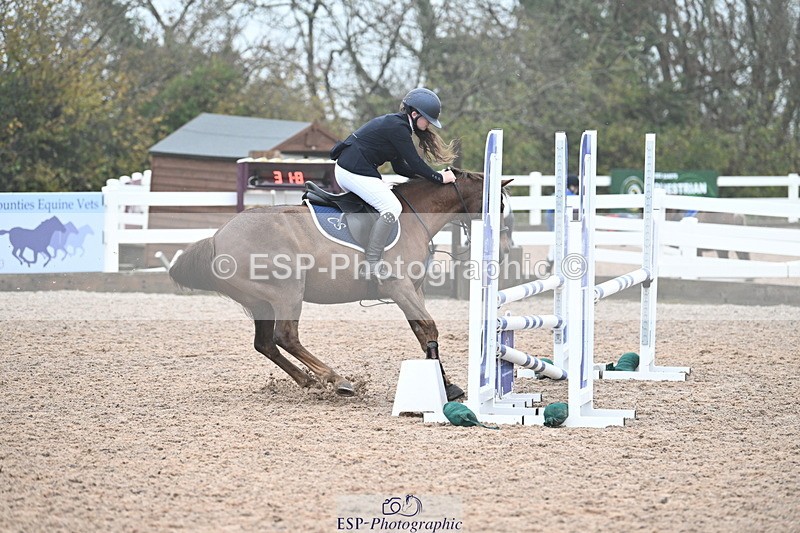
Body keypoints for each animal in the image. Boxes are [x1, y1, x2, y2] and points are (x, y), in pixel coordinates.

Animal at [169, 168, 511, 400]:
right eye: (498, 207)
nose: (504, 250)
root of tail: (217, 238)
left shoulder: (413, 291)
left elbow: (422, 332)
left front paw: (446, 385)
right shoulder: (400, 289)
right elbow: (429, 328)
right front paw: (446, 387)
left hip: (261, 303)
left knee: (265, 343)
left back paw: (310, 382)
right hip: (287, 292)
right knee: (286, 336)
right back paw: (337, 380)